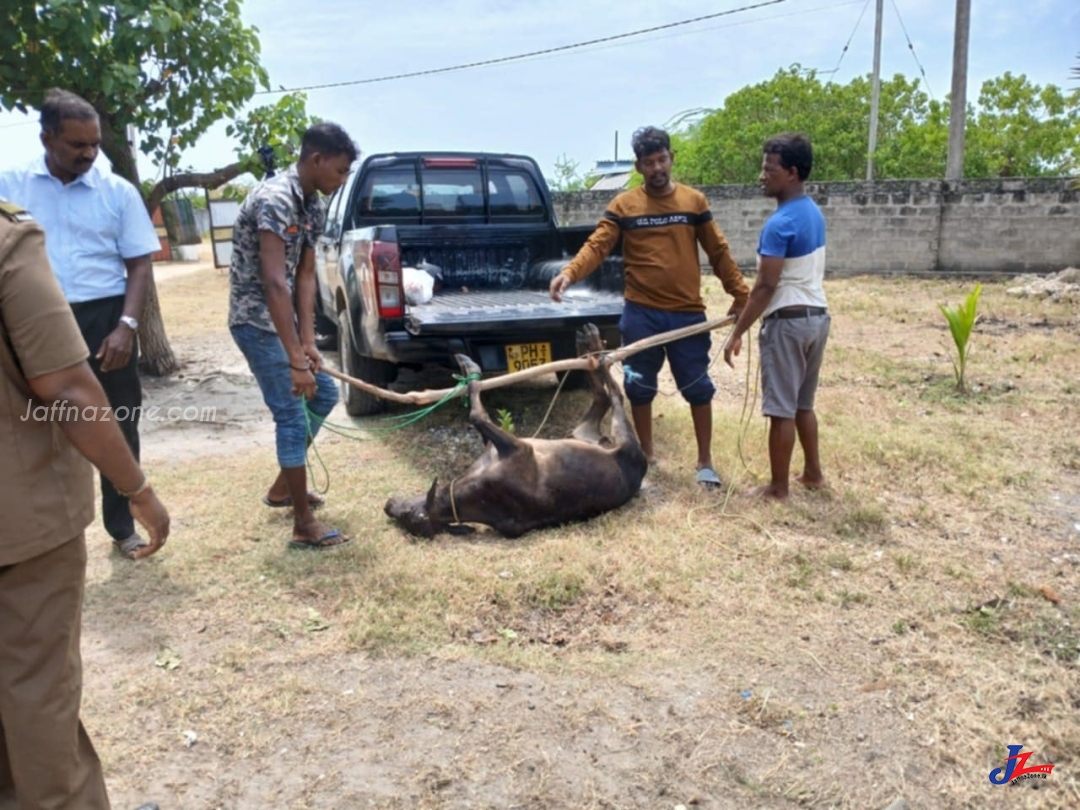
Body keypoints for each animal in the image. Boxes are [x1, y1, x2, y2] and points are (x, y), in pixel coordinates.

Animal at [384, 324, 643, 540]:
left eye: (406, 511)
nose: (387, 506)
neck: (474, 493)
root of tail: (640, 471)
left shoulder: (517, 447)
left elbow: (476, 414)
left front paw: (469, 368)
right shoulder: (513, 448)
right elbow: (477, 413)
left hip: (615, 437)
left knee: (613, 392)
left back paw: (593, 346)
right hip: (589, 434)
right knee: (605, 395)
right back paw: (590, 346)